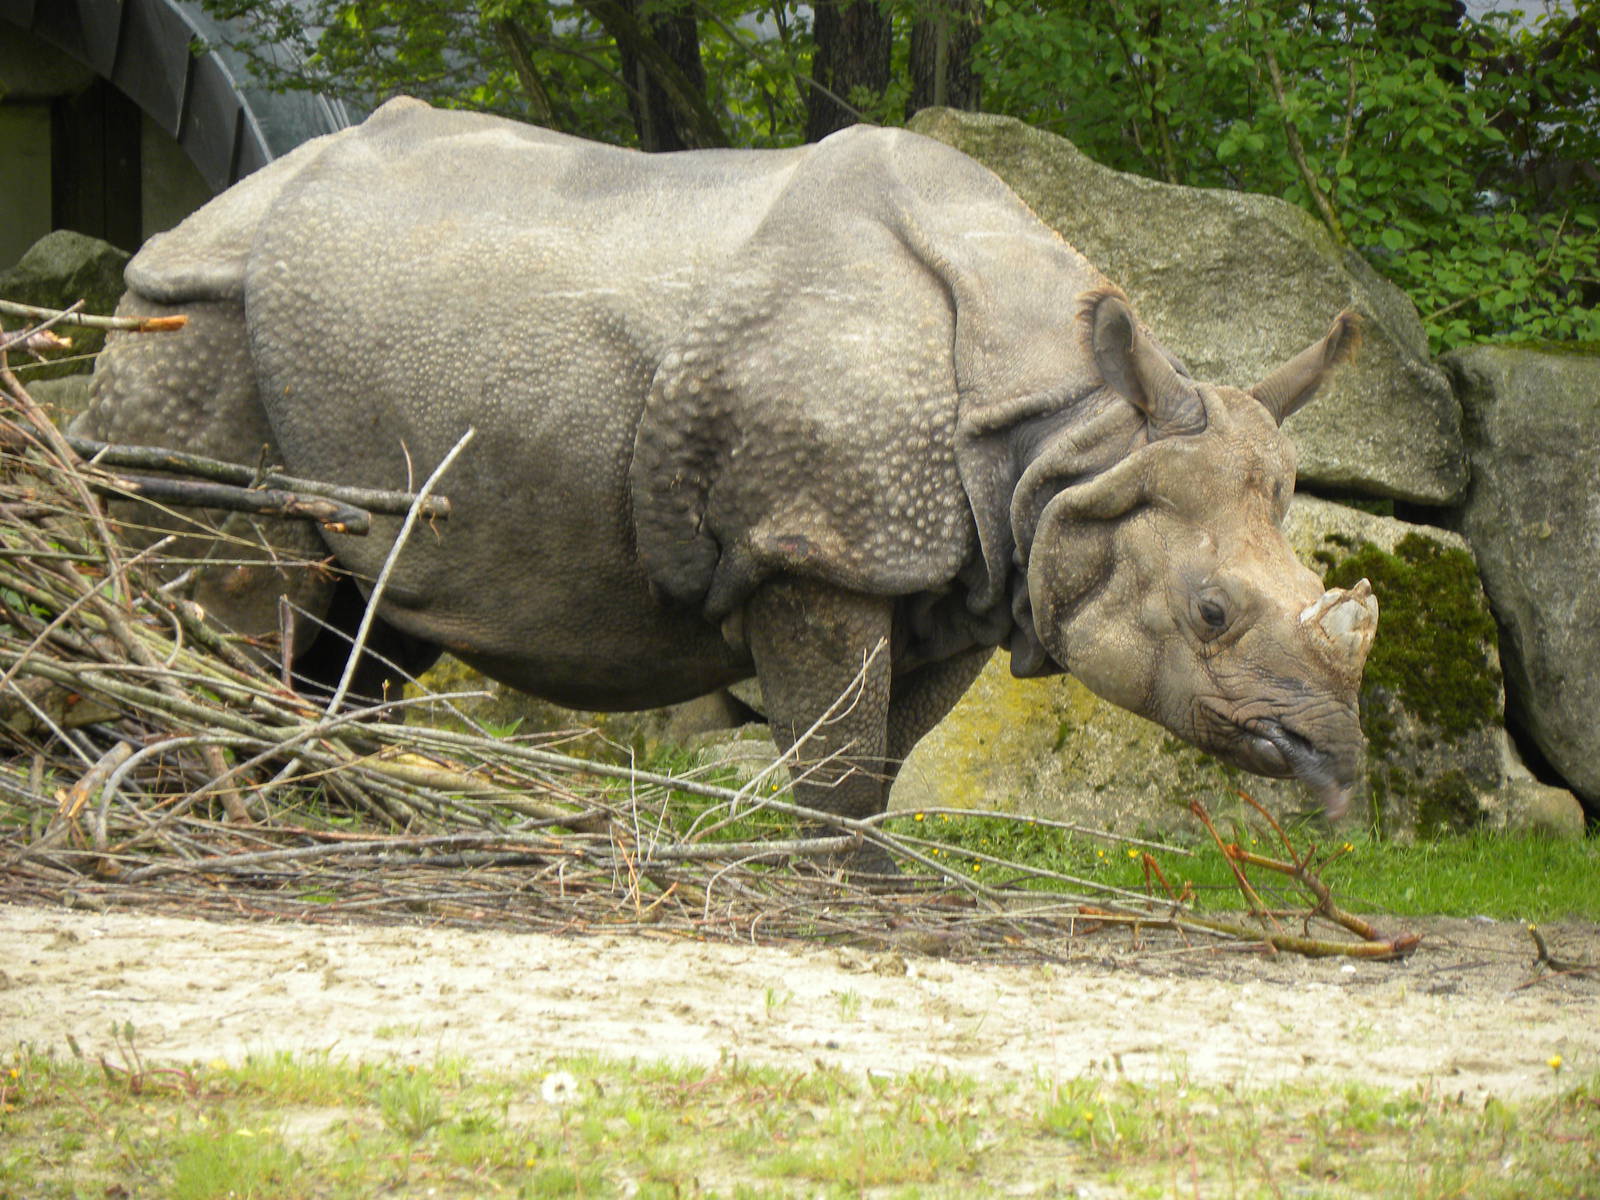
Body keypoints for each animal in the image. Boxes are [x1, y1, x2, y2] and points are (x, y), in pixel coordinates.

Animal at [79, 97, 1377, 840]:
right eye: (1208, 612)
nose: (1335, 767)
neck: (1070, 436)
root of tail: (217, 202)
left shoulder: (967, 568)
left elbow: (883, 754)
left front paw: (859, 870)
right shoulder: (813, 546)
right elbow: (838, 752)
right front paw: (836, 888)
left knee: (368, 612)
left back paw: (327, 804)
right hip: (199, 324)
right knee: (242, 586)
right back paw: (206, 794)